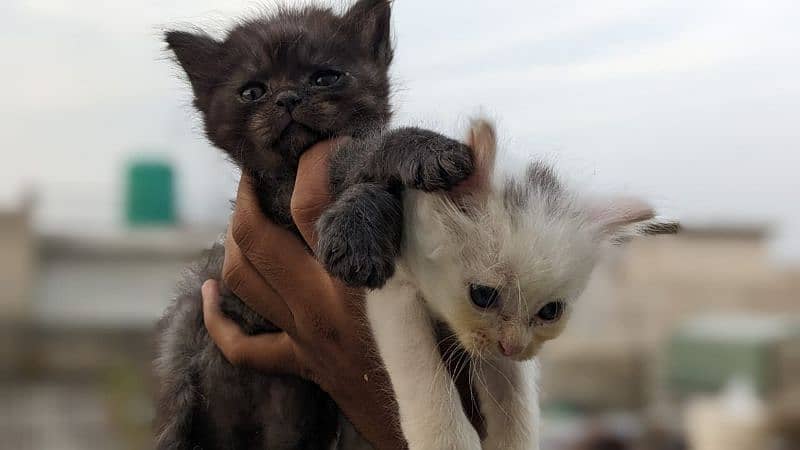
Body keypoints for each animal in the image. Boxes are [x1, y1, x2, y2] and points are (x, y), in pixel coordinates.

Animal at [153, 0, 472, 450]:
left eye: (325, 77)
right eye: (252, 91)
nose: (287, 98)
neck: (293, 167)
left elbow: (359, 157)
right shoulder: (277, 197)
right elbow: (357, 153)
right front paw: (419, 149)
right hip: (186, 332)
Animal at [366, 118, 680, 448]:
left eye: (550, 311)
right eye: (482, 295)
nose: (511, 346)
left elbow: (517, 399)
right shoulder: (395, 283)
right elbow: (420, 365)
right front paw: (447, 439)